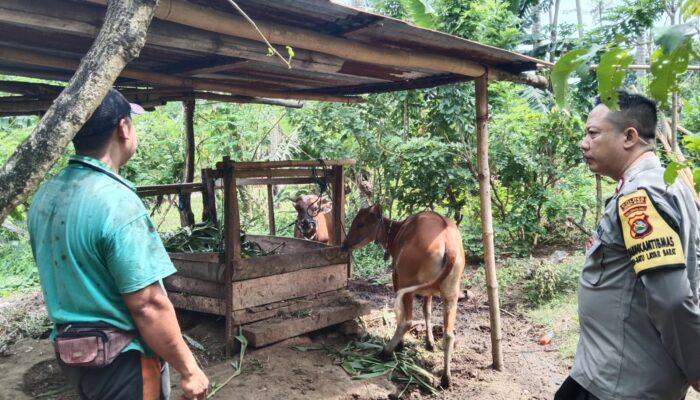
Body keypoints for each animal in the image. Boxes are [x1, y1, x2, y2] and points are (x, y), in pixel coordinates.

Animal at [340, 205, 464, 386]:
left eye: (360, 223)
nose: (343, 245)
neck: (397, 231)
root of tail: (449, 244)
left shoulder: (396, 278)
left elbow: (404, 315)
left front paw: (401, 344)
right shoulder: (429, 292)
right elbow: (427, 311)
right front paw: (429, 343)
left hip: (407, 284)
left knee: (407, 321)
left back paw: (386, 351)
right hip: (451, 292)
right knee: (449, 334)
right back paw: (446, 378)